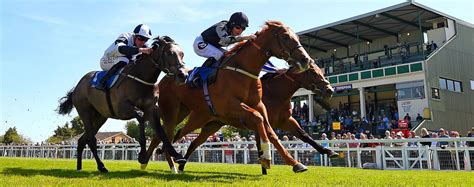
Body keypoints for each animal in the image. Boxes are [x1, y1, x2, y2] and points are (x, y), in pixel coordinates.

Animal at [57, 35, 187, 173]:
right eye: (169, 53)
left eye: (182, 54)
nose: (183, 75)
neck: (141, 77)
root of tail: (77, 87)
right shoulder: (122, 108)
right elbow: (141, 117)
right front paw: (142, 155)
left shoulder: (151, 108)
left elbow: (161, 132)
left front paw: (177, 155)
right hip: (85, 111)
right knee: (91, 140)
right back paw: (101, 166)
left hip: (100, 117)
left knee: (83, 140)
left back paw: (80, 167)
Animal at [143, 20, 314, 174]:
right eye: (286, 37)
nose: (306, 60)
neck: (242, 70)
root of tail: (165, 78)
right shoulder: (230, 106)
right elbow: (257, 118)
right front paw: (265, 157)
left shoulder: (259, 105)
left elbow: (270, 130)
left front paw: (295, 163)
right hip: (172, 111)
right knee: (166, 134)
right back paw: (157, 162)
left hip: (188, 114)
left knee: (168, 135)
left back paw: (160, 161)